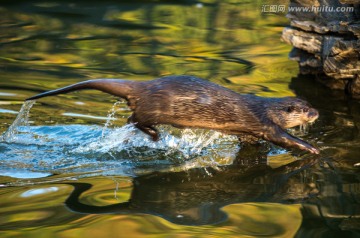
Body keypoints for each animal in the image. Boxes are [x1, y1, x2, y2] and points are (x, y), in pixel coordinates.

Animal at [26, 75, 320, 155]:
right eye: (305, 110)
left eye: (310, 104)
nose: (317, 112)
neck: (267, 108)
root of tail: (144, 86)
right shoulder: (265, 124)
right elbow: (285, 138)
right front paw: (313, 148)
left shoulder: (249, 131)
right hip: (153, 108)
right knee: (133, 119)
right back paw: (155, 136)